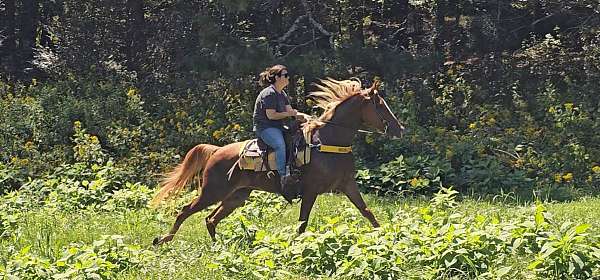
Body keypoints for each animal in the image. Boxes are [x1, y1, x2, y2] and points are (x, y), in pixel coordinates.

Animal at [151, 77, 404, 245]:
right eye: (380, 106)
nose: (399, 129)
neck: (328, 140)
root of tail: (217, 151)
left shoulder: (347, 185)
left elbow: (367, 212)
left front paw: (386, 237)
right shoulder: (311, 190)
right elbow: (302, 223)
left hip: (237, 196)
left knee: (210, 219)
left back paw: (219, 246)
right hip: (213, 191)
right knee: (185, 211)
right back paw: (163, 240)